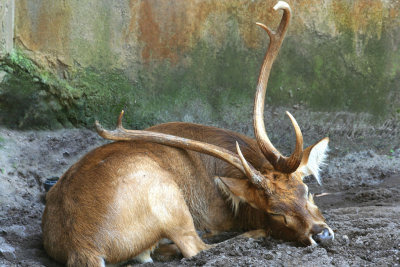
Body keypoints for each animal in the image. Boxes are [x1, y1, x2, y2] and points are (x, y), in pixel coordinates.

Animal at [41, 1, 334, 266]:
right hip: (167, 196)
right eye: (275, 213)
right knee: (195, 248)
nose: (322, 234)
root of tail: (84, 248)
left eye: (306, 190)